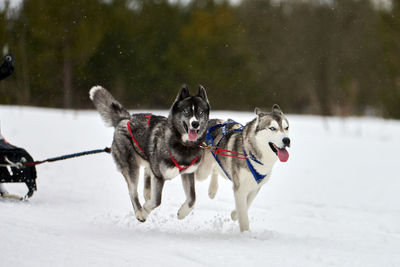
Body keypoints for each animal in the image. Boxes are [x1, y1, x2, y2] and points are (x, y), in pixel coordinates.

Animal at [90, 85, 209, 222]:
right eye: (186, 112)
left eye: (200, 112)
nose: (195, 124)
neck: (183, 145)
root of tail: (125, 119)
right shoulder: (159, 176)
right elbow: (156, 201)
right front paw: (146, 209)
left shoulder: (188, 173)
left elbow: (192, 199)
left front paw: (182, 213)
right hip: (132, 167)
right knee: (133, 191)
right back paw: (140, 212)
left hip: (147, 161)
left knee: (146, 179)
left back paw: (147, 195)